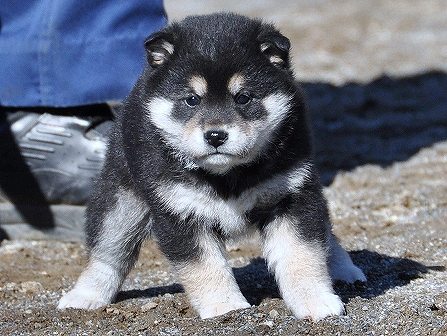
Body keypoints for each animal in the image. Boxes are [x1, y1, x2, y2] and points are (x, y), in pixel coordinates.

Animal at [58, 12, 368, 320]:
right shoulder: (179, 211)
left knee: (325, 232)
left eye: (243, 97)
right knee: (107, 251)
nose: (216, 136)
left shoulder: (292, 195)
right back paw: (85, 296)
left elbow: (302, 254)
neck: (228, 174)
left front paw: (316, 300)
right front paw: (226, 307)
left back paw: (344, 269)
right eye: (191, 99)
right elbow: (205, 268)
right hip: (122, 201)